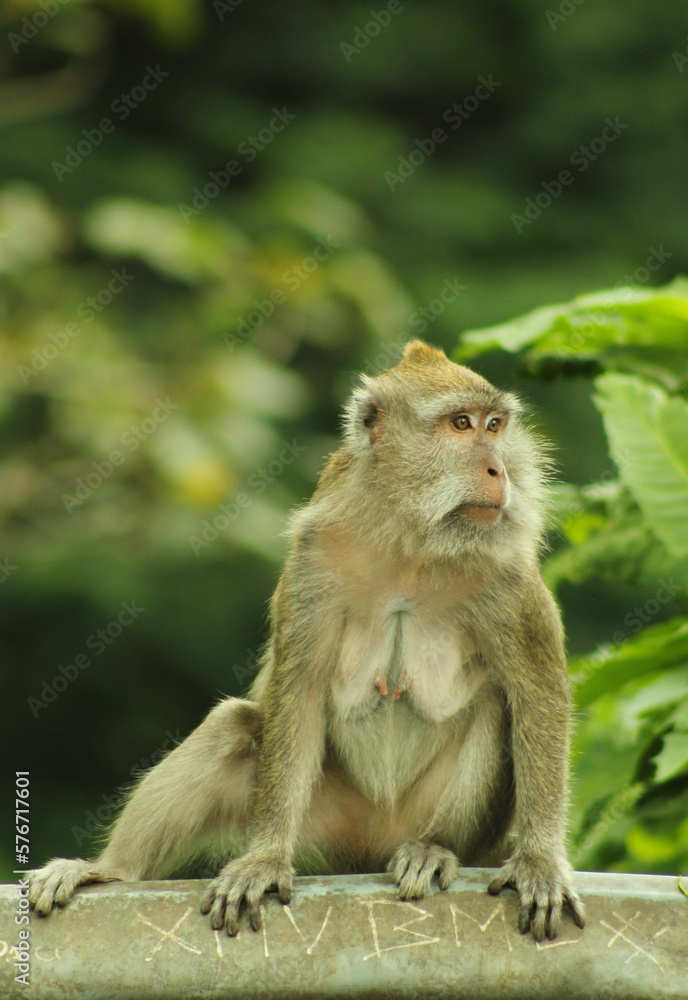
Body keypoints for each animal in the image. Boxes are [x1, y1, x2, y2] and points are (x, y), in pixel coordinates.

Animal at [29, 340, 585, 943]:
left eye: (495, 425)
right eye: (461, 424)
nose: (498, 468)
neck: (411, 537)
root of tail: (374, 844)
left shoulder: (508, 574)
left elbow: (537, 695)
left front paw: (539, 862)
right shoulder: (314, 558)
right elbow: (298, 690)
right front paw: (265, 860)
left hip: (426, 817)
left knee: (495, 707)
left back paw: (433, 849)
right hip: (328, 819)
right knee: (234, 726)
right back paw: (111, 870)